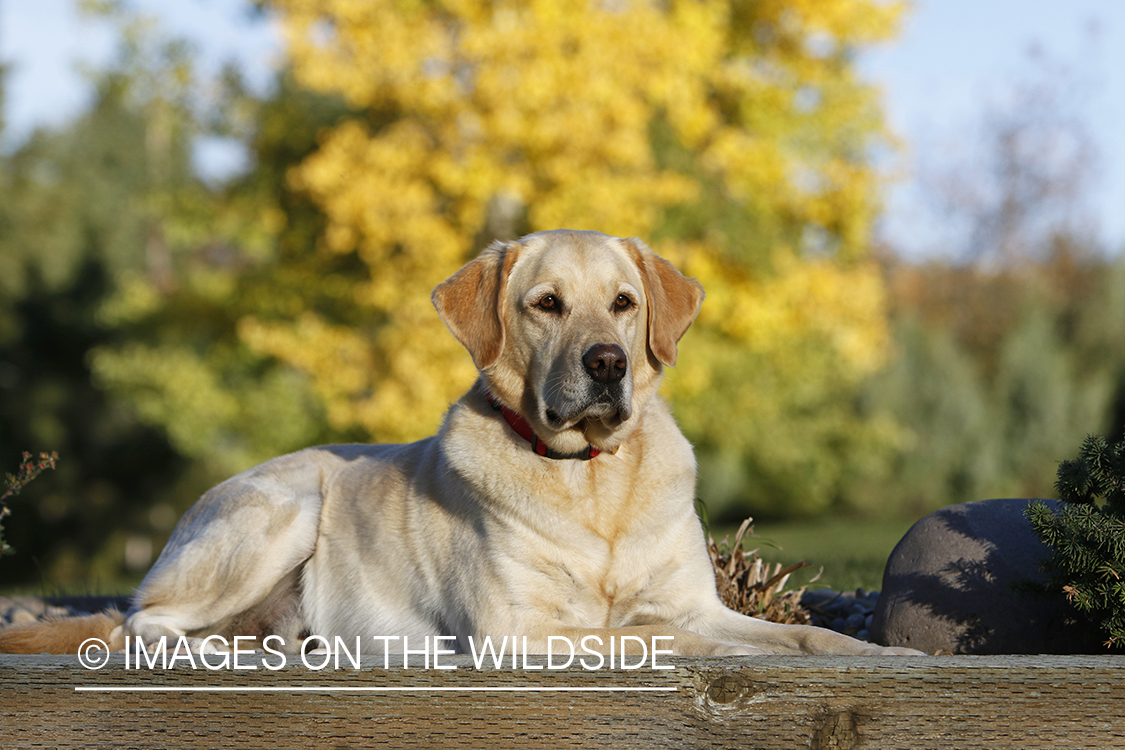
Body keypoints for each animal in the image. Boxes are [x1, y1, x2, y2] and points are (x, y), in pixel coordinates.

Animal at [2, 230, 913, 656]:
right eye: (545, 304)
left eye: (623, 303)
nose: (607, 362)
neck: (591, 481)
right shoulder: (512, 630)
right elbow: (650, 635)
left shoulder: (699, 601)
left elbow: (797, 634)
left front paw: (850, 646)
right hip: (281, 508)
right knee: (140, 621)